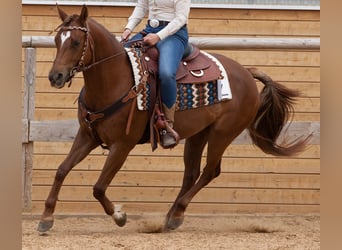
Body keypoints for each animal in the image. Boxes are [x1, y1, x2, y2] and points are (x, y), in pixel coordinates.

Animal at [38, 5, 310, 232]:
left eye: (75, 42)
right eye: (57, 40)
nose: (55, 76)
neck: (114, 80)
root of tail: (246, 72)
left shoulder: (122, 145)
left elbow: (98, 187)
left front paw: (119, 215)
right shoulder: (87, 136)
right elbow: (61, 170)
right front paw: (46, 218)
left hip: (223, 133)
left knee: (209, 172)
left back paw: (177, 214)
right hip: (199, 134)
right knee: (191, 173)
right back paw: (171, 216)